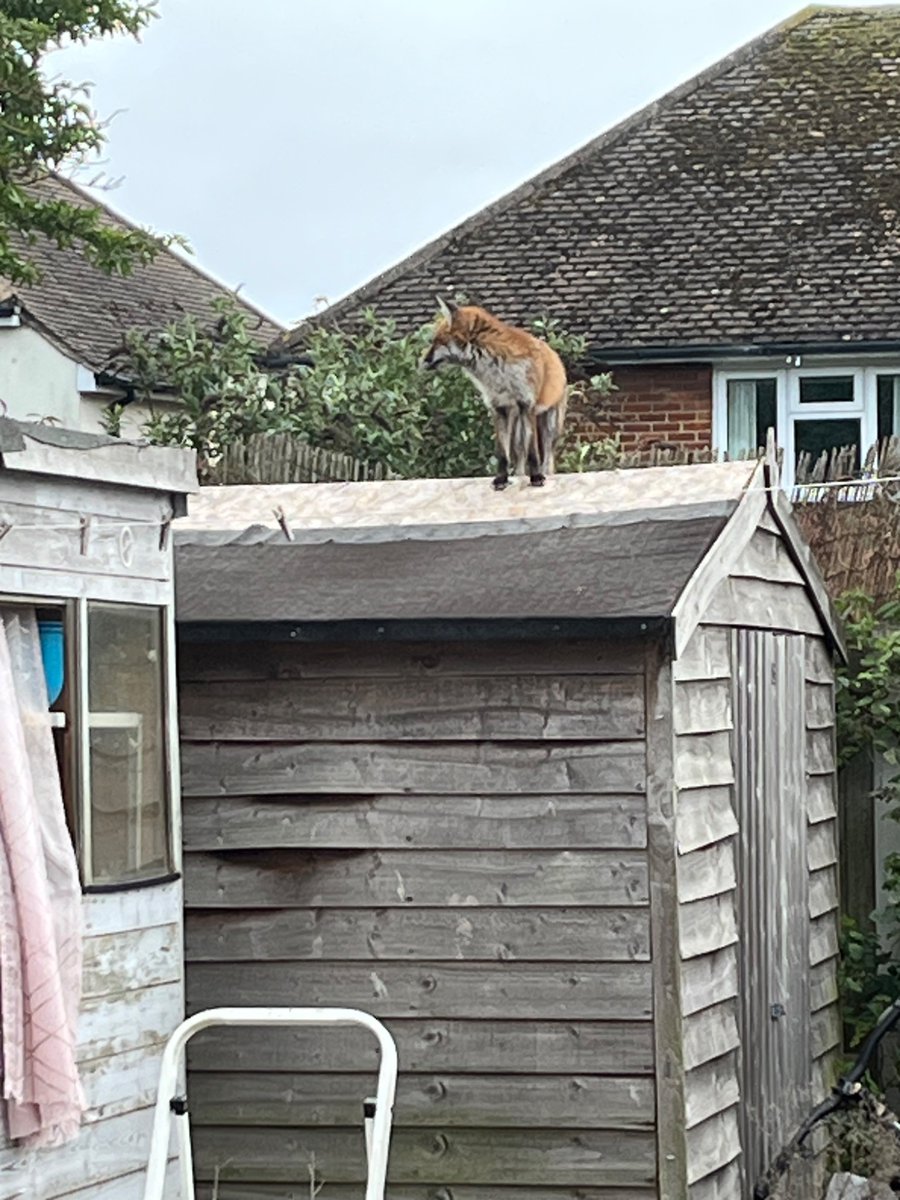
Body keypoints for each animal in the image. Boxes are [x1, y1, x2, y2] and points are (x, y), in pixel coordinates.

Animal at [422, 297, 568, 490]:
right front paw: (501, 479)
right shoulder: (499, 408)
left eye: (437, 341)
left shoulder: (526, 404)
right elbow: (502, 454)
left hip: (549, 427)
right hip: (517, 428)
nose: (422, 361)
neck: (498, 373)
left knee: (546, 458)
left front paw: (536, 477)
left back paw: (543, 474)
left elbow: (533, 453)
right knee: (519, 458)